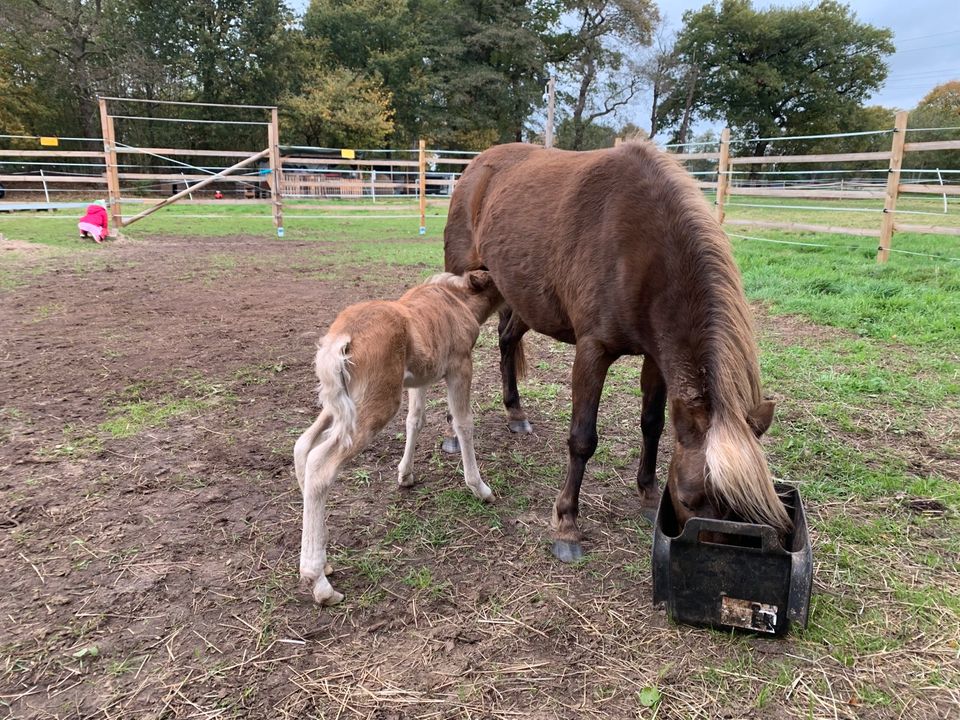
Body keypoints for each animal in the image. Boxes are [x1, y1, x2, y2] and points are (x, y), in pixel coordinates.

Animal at [442, 139, 788, 556]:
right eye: (688, 500)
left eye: (736, 511)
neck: (642, 248)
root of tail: (476, 166)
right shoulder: (593, 351)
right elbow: (582, 439)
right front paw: (567, 523)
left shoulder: (657, 356)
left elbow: (652, 424)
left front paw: (648, 495)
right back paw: (452, 431)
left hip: (519, 295)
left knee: (508, 340)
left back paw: (515, 412)